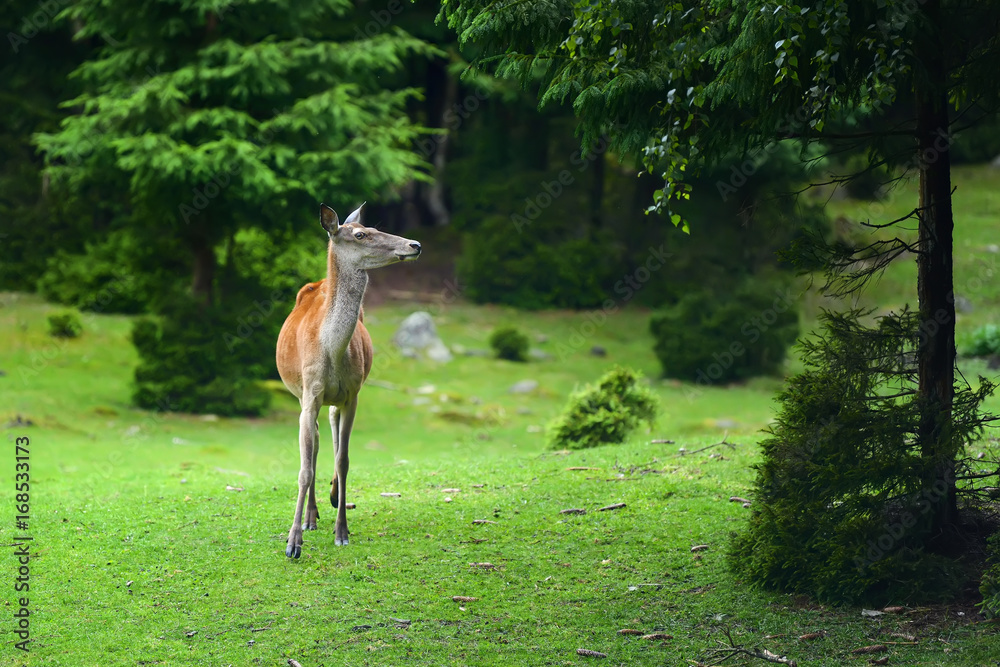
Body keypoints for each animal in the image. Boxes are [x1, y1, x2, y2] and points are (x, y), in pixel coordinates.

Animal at [276, 204, 420, 560]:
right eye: (360, 234)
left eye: (373, 227)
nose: (415, 244)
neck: (332, 352)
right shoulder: (309, 393)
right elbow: (304, 468)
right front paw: (293, 542)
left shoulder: (353, 394)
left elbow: (344, 459)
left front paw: (342, 531)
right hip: (301, 395)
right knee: (314, 442)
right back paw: (311, 516)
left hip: (336, 398)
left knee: (330, 430)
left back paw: (328, 501)